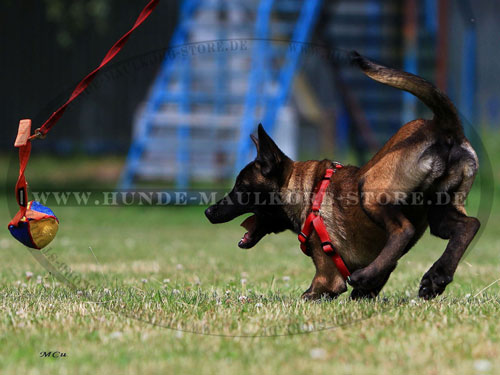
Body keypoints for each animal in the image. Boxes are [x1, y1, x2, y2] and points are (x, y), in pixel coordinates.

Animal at [204, 51, 480, 302]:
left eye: (241, 187)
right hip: (440, 211)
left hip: (369, 190)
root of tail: (442, 126)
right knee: (469, 225)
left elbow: (310, 293)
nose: (208, 211)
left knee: (404, 229)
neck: (308, 191)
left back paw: (371, 274)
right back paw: (437, 277)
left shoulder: (326, 280)